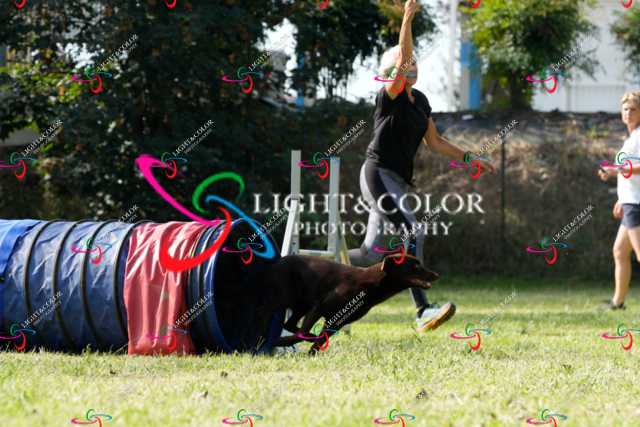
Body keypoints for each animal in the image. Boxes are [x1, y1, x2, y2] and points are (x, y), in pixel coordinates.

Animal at [258, 253, 439, 354]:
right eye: (416, 266)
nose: (436, 275)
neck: (372, 284)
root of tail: (276, 262)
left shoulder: (337, 321)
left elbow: (319, 340)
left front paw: (311, 352)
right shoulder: (319, 307)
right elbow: (299, 336)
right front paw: (277, 342)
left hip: (302, 304)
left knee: (289, 324)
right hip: (284, 299)